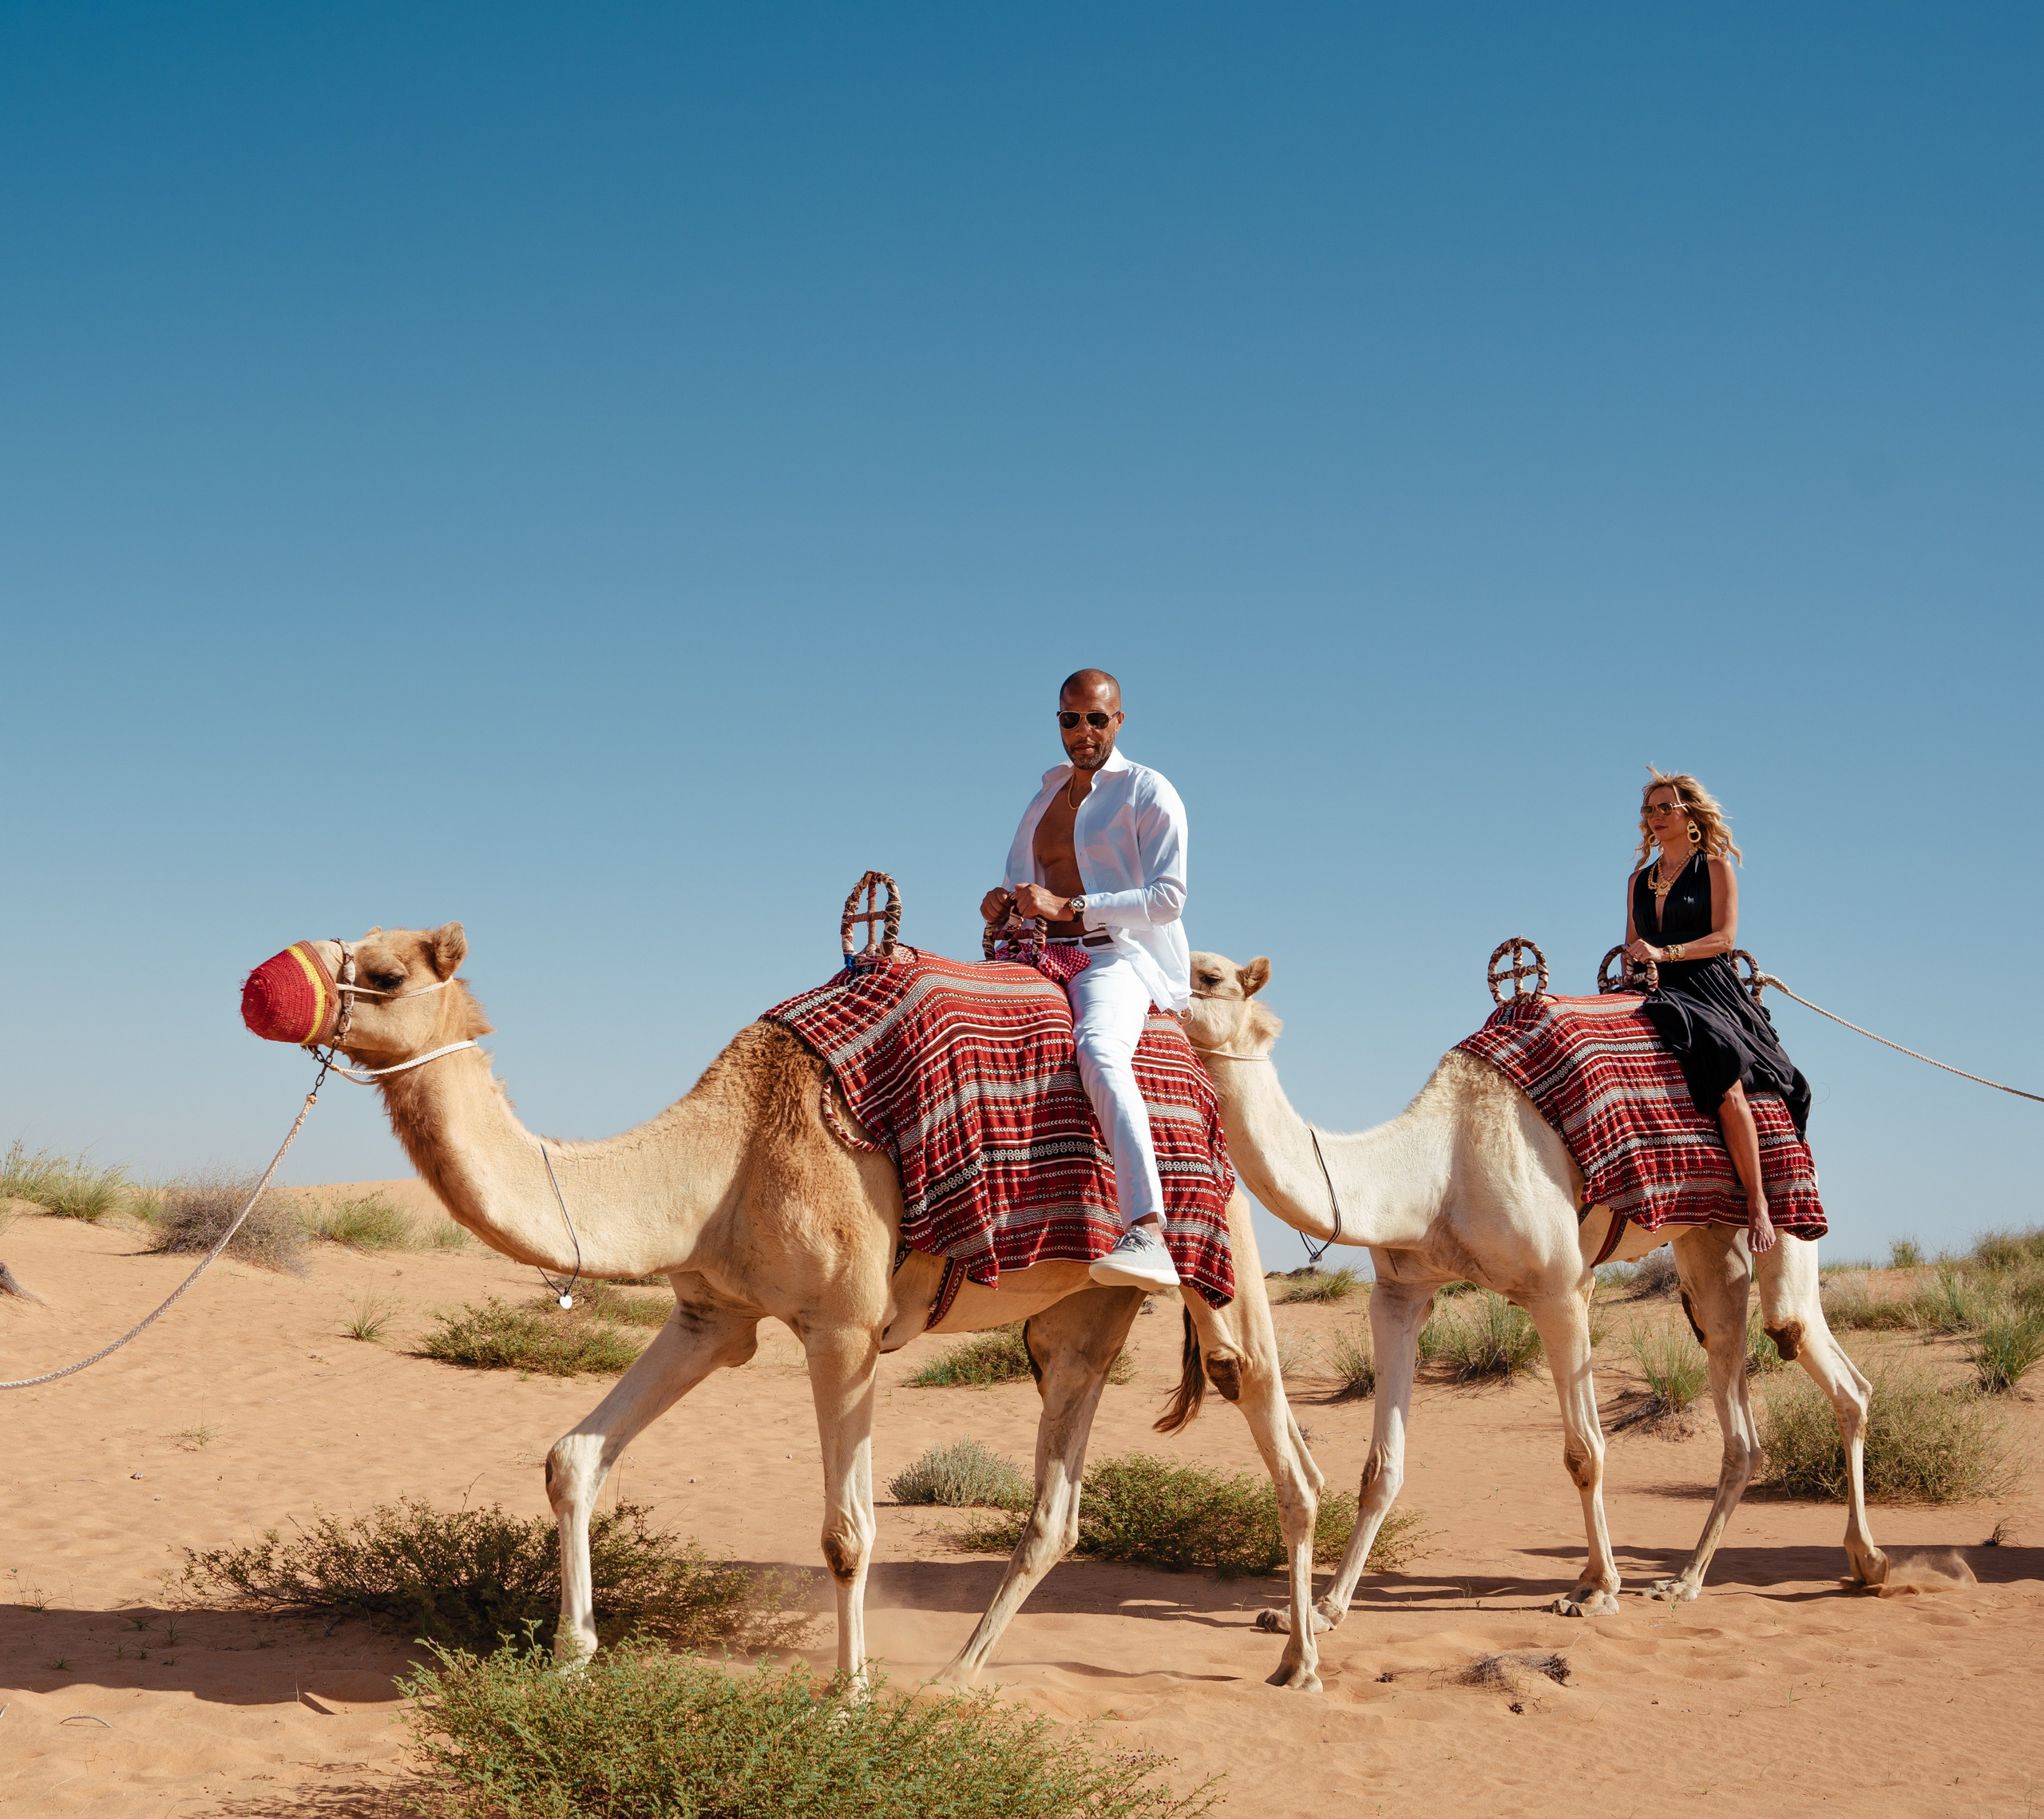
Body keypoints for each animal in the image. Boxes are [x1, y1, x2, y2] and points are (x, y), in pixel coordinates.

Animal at [293, 924, 1328, 1689]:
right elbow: (573, 1457)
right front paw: (569, 1656)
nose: (279, 983)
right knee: (1055, 1508)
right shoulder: (711, 1318)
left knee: (1272, 1427)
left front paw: (848, 1691)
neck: (727, 1150)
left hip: (1220, 1250)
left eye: (384, 972)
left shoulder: (842, 1327)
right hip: (1081, 1314)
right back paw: (959, 1671)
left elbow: (845, 1532)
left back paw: (1298, 1660)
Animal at [1178, 950, 1886, 1635]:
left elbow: (1585, 1452)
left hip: (1787, 1203)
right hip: (1707, 1244)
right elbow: (1381, 1467)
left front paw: (1596, 1590)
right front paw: (1325, 1611)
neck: (1436, 1166)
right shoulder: (1400, 1294)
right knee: (1736, 1393)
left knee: (1817, 1352)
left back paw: (1867, 1562)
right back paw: (1684, 1581)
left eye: (1207, 974)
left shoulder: (1561, 1288)